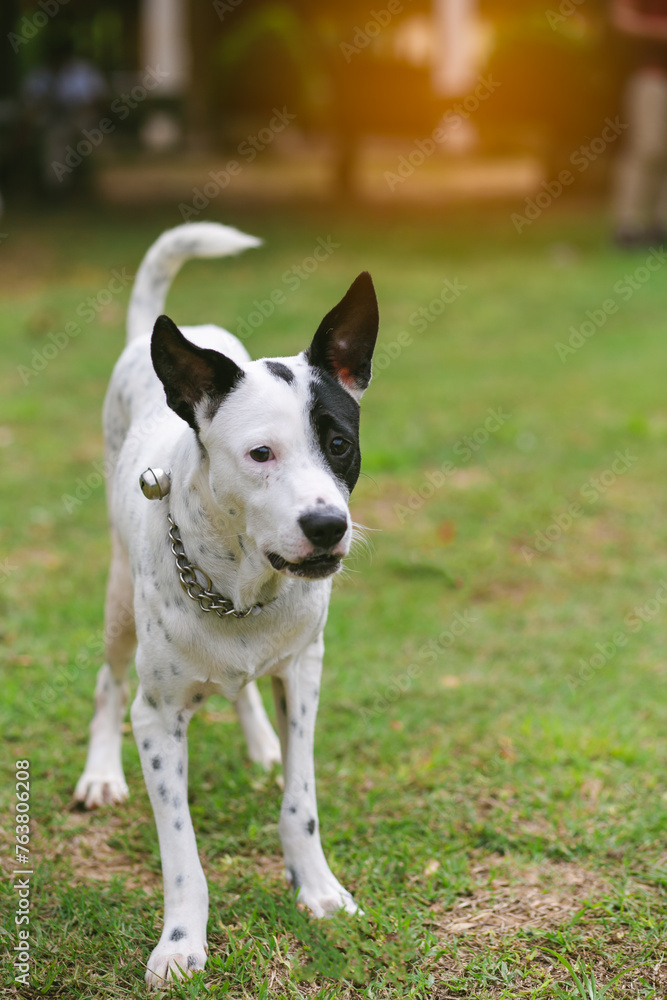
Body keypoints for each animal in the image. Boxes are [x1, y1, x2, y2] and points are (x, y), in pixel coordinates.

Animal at [75, 225, 378, 984]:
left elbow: (300, 802)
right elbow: (182, 854)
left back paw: (260, 742)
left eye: (339, 444)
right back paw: (100, 774)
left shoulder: (304, 671)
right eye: (259, 454)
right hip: (118, 600)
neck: (241, 588)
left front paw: (319, 890)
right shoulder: (157, 720)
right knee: (106, 681)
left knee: (243, 690)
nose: (327, 526)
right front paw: (180, 943)